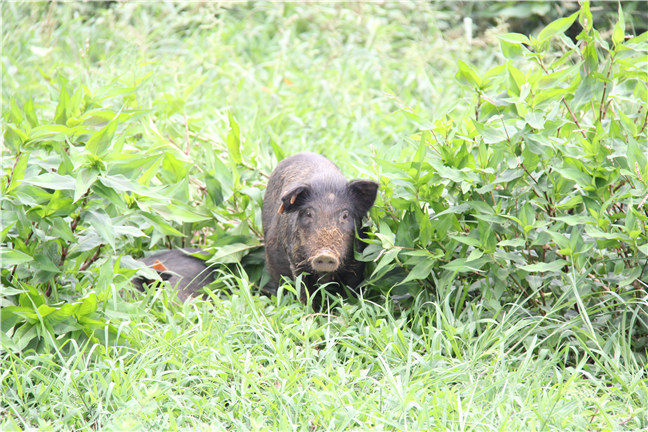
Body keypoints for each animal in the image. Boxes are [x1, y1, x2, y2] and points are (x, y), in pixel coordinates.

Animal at [260, 152, 378, 304]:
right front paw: (308, 309)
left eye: (345, 215)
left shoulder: (357, 262)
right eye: (308, 213)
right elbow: (304, 290)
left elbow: (350, 290)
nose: (325, 254)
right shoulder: (296, 261)